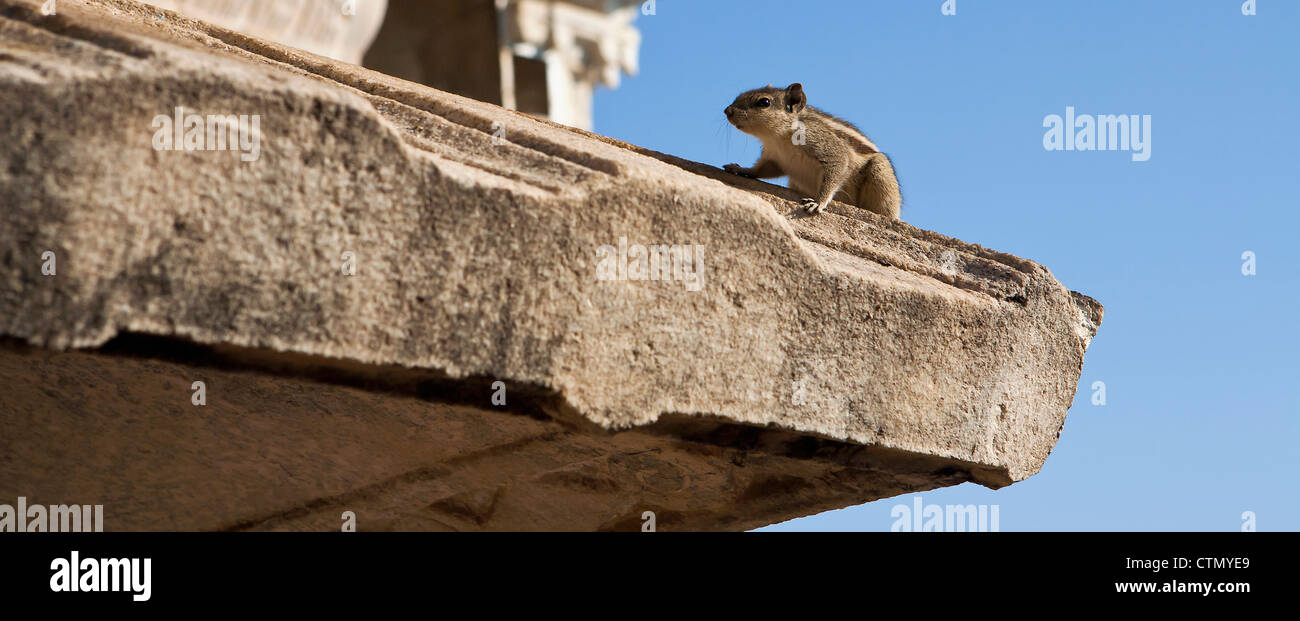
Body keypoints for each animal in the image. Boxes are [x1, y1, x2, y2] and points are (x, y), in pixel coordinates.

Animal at [722, 81, 904, 219]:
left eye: (764, 102)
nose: (727, 110)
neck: (776, 138)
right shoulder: (774, 158)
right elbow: (761, 170)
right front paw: (741, 169)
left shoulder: (829, 148)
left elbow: (837, 167)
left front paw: (819, 202)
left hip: (881, 174)